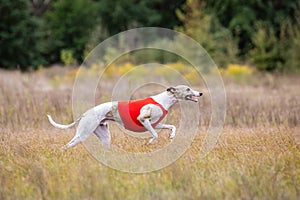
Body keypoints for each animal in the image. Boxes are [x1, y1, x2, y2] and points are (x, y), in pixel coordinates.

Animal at [47, 85, 202, 149]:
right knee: (66, 146)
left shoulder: (155, 123)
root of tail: (86, 113)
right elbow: (155, 134)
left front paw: (171, 135)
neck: (165, 99)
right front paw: (150, 142)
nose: (200, 93)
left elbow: (171, 126)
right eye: (188, 89)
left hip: (105, 137)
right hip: (83, 133)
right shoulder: (143, 120)